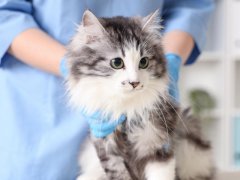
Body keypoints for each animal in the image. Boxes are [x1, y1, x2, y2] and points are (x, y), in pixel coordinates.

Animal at [65, 9, 214, 180]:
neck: (127, 111)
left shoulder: (158, 145)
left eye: (143, 62)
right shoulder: (108, 151)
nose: (134, 83)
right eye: (117, 63)